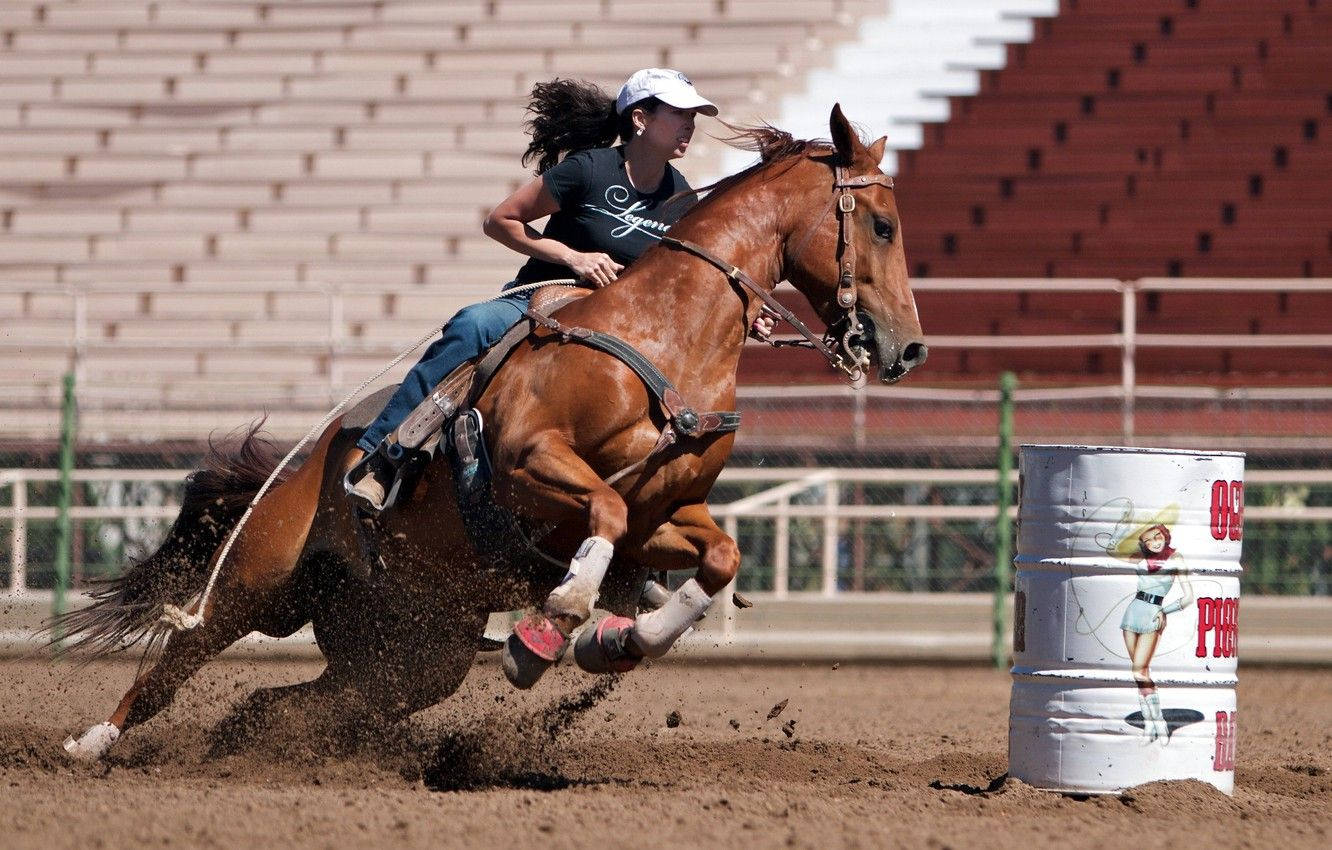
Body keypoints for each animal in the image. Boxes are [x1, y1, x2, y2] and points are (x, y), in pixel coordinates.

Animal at [59, 103, 927, 762]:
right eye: (883, 225)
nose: (908, 348)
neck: (665, 337)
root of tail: (298, 468)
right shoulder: (528, 466)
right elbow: (604, 514)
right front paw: (555, 623)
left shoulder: (667, 515)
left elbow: (719, 558)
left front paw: (619, 639)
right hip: (258, 581)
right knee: (176, 661)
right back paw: (91, 744)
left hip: (413, 648)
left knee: (294, 702)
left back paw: (249, 747)